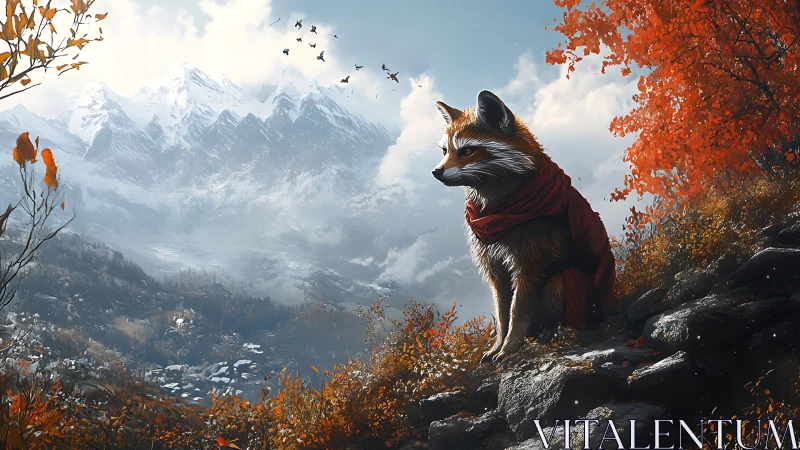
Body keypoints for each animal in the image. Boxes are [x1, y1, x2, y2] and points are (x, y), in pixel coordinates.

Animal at [431, 90, 617, 363]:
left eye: (467, 151)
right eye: (445, 151)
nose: (436, 171)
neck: (500, 211)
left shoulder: (530, 262)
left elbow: (518, 311)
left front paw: (509, 346)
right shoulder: (494, 265)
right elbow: (502, 312)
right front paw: (498, 343)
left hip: (564, 283)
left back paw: (552, 328)